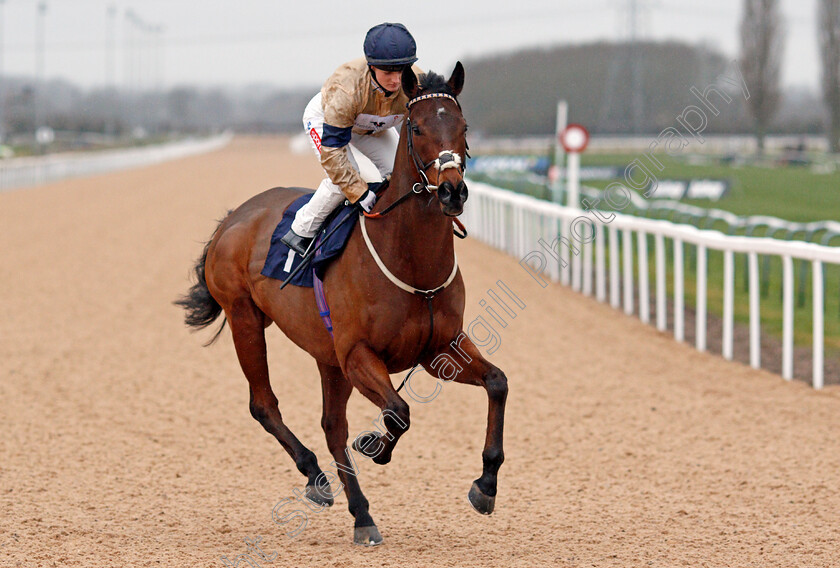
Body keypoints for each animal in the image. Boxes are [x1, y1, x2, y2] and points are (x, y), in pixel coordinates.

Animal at [175, 64, 508, 548]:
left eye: (463, 127)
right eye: (418, 127)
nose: (452, 194)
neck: (411, 261)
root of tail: (233, 217)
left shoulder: (439, 349)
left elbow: (497, 383)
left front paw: (485, 485)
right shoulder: (357, 355)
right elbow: (399, 413)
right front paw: (375, 447)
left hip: (324, 355)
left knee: (332, 427)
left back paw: (362, 514)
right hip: (245, 319)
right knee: (264, 404)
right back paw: (317, 478)